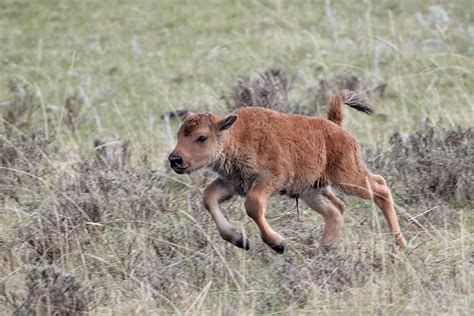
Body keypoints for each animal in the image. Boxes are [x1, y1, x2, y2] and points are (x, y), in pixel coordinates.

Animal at [168, 90, 406, 253]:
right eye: (179, 134)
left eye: (201, 137)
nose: (175, 159)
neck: (235, 136)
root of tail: (336, 127)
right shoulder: (233, 184)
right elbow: (209, 198)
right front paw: (240, 240)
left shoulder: (270, 180)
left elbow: (253, 205)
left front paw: (278, 244)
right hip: (311, 190)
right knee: (336, 210)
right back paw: (320, 252)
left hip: (348, 178)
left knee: (380, 188)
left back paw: (400, 245)